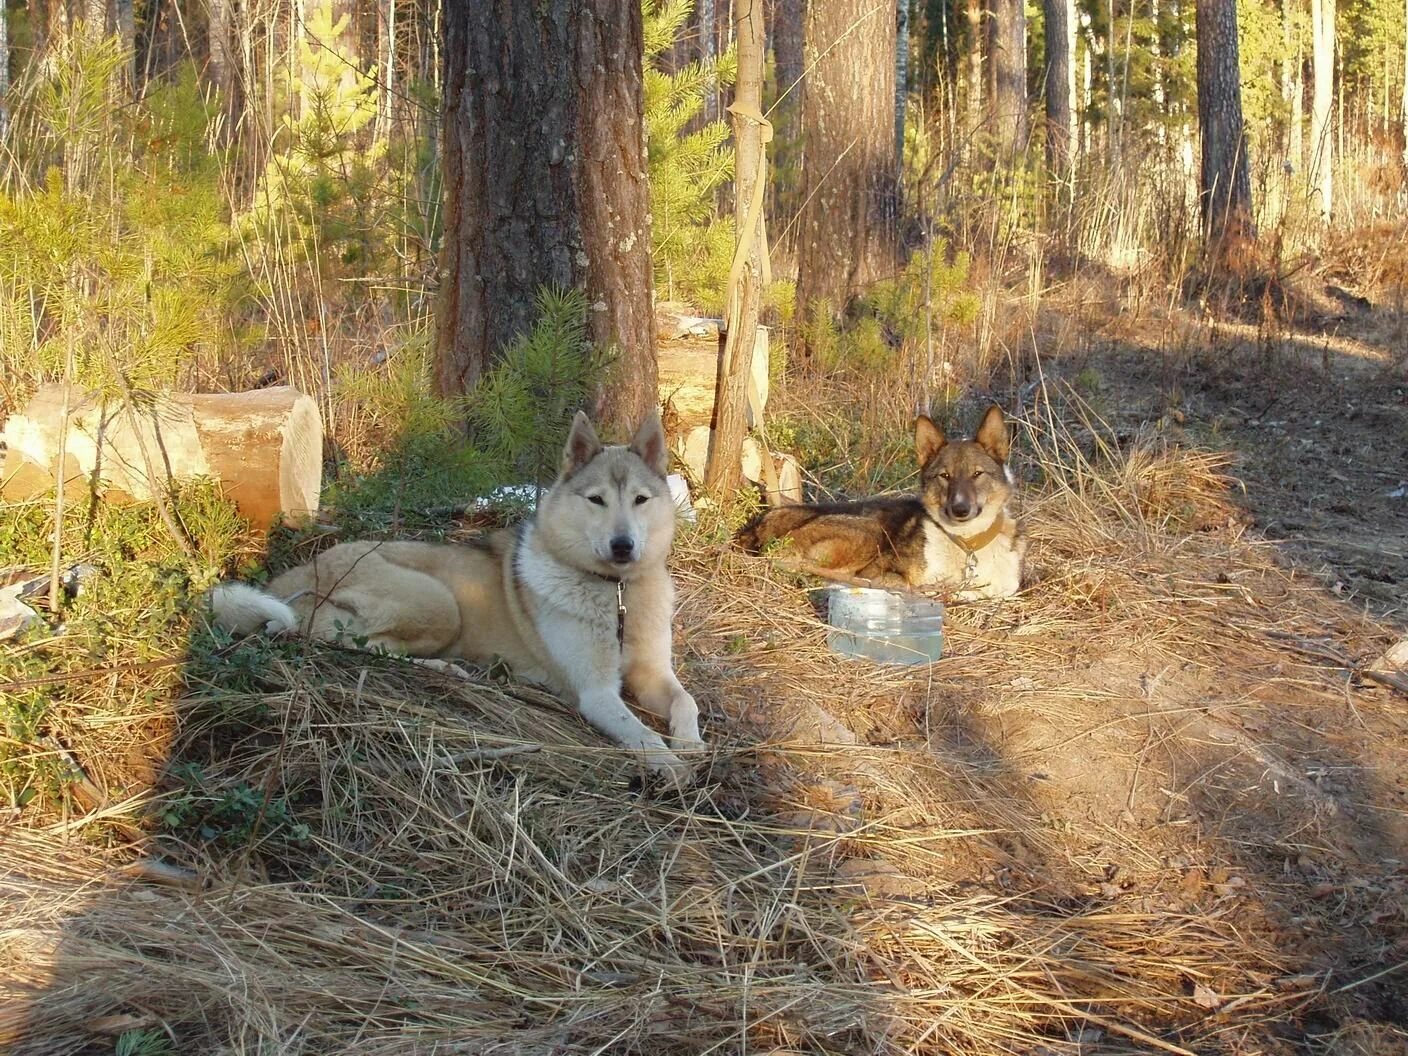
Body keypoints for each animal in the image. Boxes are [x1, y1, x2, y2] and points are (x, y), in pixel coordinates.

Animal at [206, 413, 704, 788]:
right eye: (596, 500)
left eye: (640, 500)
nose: (623, 546)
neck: (616, 591)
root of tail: (310, 564)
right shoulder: (596, 693)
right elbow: (641, 733)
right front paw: (671, 765)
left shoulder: (653, 674)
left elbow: (687, 701)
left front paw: (692, 744)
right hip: (440, 604)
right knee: (345, 640)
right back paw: (444, 669)